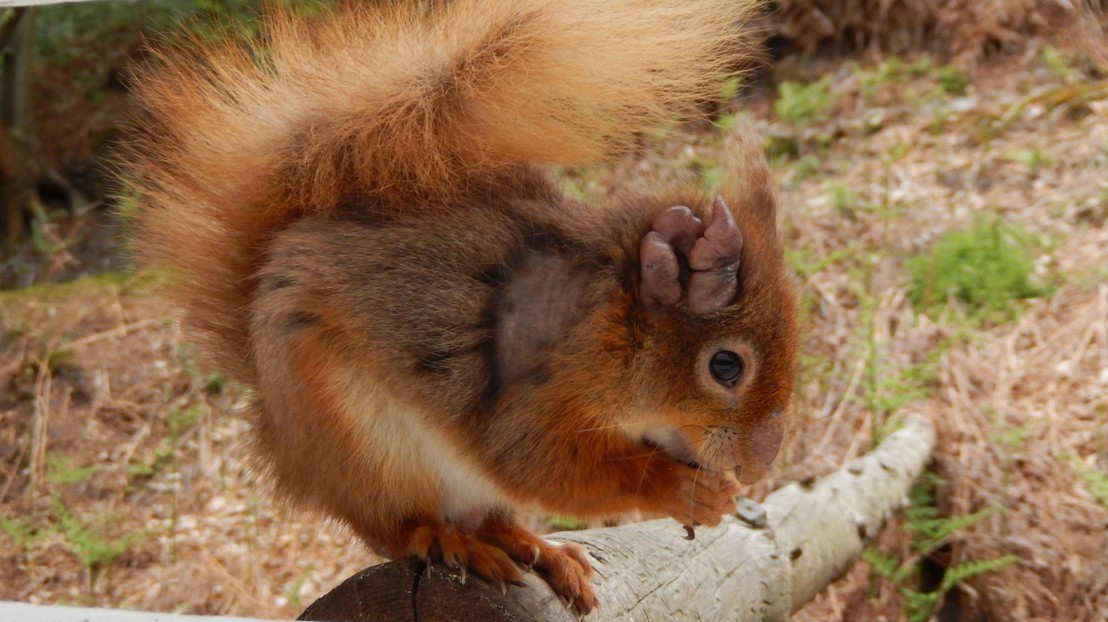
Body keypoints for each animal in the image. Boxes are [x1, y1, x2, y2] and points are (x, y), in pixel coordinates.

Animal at [123, 0, 797, 612]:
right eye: (726, 366)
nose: (762, 461)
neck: (607, 321)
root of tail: (279, 431)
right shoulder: (530, 400)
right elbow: (543, 465)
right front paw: (683, 490)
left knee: (488, 516)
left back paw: (536, 548)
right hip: (361, 442)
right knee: (396, 528)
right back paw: (449, 541)